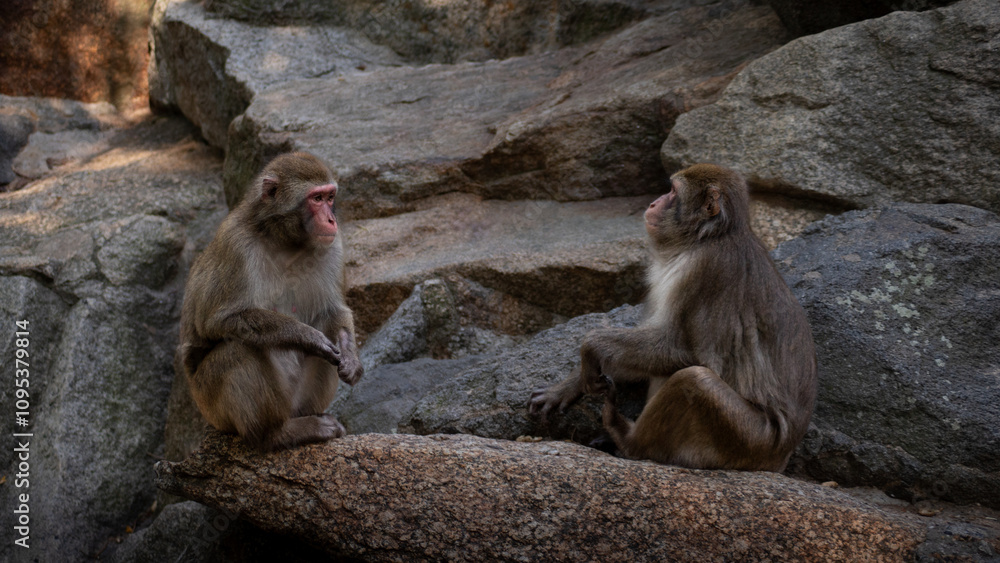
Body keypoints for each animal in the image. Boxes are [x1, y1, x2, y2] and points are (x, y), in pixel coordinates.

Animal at [178, 152, 364, 451]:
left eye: (330, 197)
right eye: (316, 199)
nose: (331, 220)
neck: (284, 240)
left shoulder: (334, 246)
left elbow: (333, 311)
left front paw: (350, 357)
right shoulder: (236, 246)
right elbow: (219, 321)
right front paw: (307, 337)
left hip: (297, 401)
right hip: (213, 408)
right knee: (238, 349)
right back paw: (276, 434)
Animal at [529, 163, 817, 471]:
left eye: (672, 192)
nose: (653, 203)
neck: (703, 239)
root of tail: (781, 457)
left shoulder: (709, 269)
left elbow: (695, 356)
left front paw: (591, 346)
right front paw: (569, 386)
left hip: (749, 441)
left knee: (695, 381)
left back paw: (626, 438)